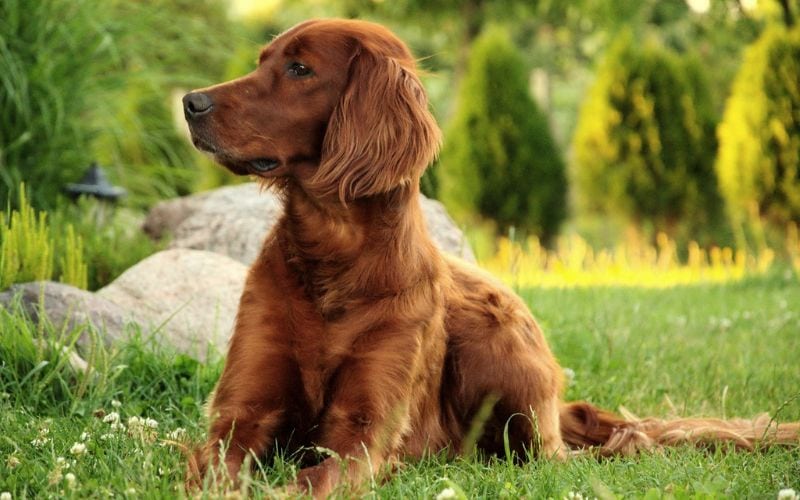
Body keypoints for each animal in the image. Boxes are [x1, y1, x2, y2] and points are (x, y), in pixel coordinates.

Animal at [183, 18, 800, 496]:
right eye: (263, 60)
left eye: (300, 70)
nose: (191, 102)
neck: (334, 256)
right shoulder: (241, 416)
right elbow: (218, 468)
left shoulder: (362, 432)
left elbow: (316, 477)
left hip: (493, 343)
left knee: (579, 452)